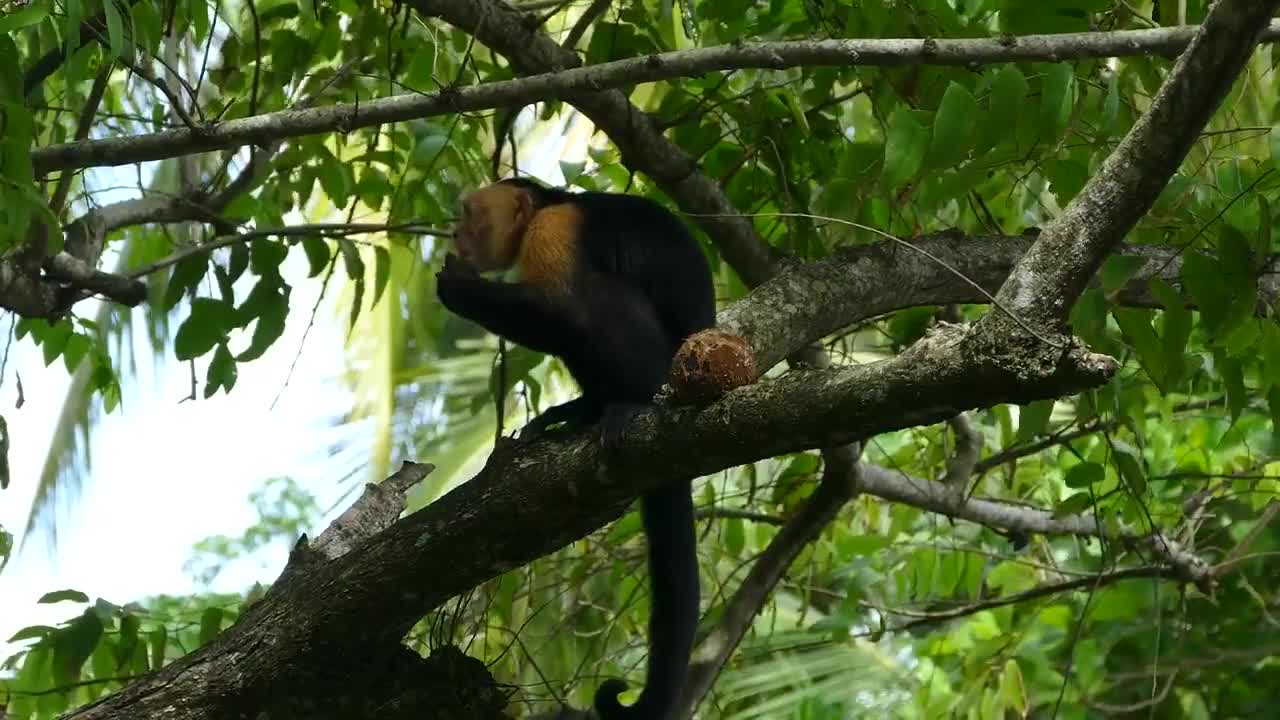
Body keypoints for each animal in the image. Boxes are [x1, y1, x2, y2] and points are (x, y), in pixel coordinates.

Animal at [437, 175, 721, 717]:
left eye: (470, 212)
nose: (455, 233)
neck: (545, 207)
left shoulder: (555, 230)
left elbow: (561, 309)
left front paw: (458, 287)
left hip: (671, 368)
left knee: (599, 297)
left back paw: (630, 402)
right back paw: (585, 411)